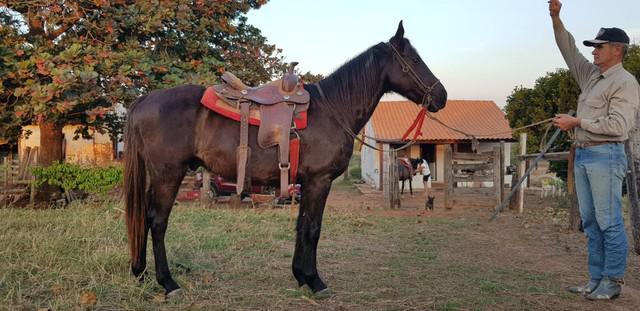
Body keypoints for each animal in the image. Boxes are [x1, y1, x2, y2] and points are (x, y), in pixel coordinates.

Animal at [124, 21, 444, 298]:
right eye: (414, 60)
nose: (441, 96)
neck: (333, 108)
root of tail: (145, 99)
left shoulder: (304, 183)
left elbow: (301, 226)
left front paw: (300, 275)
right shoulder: (319, 181)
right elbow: (313, 229)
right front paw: (315, 281)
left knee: (143, 217)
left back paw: (140, 273)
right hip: (168, 175)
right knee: (157, 222)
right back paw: (168, 283)